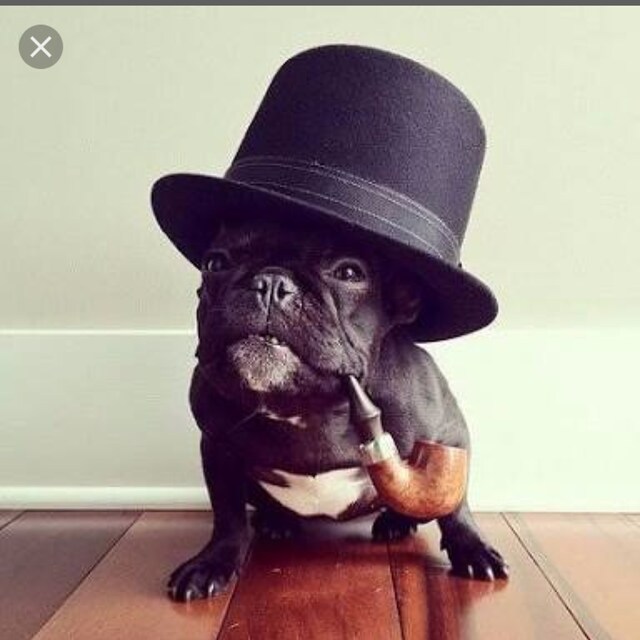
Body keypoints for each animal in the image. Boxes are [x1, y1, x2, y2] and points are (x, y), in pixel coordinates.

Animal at [165, 216, 508, 602]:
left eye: (348, 272)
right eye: (215, 263)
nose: (271, 282)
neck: (307, 403)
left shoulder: (448, 434)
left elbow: (454, 504)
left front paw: (472, 548)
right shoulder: (216, 447)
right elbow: (228, 515)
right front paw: (212, 562)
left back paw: (397, 522)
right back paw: (276, 521)